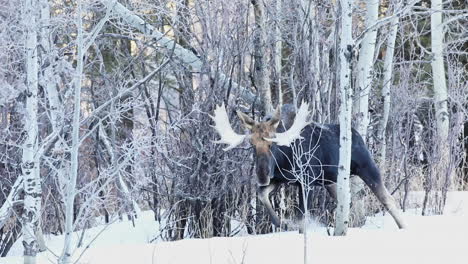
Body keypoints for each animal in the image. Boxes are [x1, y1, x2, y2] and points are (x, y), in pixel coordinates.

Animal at [212, 102, 406, 230]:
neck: (284, 157)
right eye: (251, 143)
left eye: (272, 143)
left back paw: (403, 226)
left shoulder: (306, 182)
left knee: (388, 199)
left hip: (367, 168)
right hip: (331, 182)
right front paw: (281, 222)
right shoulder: (281, 179)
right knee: (348, 202)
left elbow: (302, 217)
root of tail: (358, 134)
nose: (262, 175)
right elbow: (262, 194)